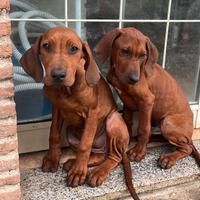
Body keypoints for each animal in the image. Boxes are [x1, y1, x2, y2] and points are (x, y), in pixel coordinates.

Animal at [19, 26, 139, 198]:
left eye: (74, 48)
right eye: (46, 46)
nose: (58, 75)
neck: (66, 90)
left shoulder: (92, 113)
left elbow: (84, 145)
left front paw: (78, 173)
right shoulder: (57, 109)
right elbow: (53, 134)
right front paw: (53, 159)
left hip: (113, 120)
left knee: (113, 157)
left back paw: (96, 172)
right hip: (70, 131)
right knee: (99, 155)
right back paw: (73, 163)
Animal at [94, 27, 200, 169]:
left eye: (143, 55)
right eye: (124, 51)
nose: (134, 79)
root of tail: (189, 135)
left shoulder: (147, 100)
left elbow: (143, 128)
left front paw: (139, 152)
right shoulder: (127, 101)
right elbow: (128, 122)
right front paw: (127, 140)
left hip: (167, 122)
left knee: (187, 148)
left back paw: (169, 158)